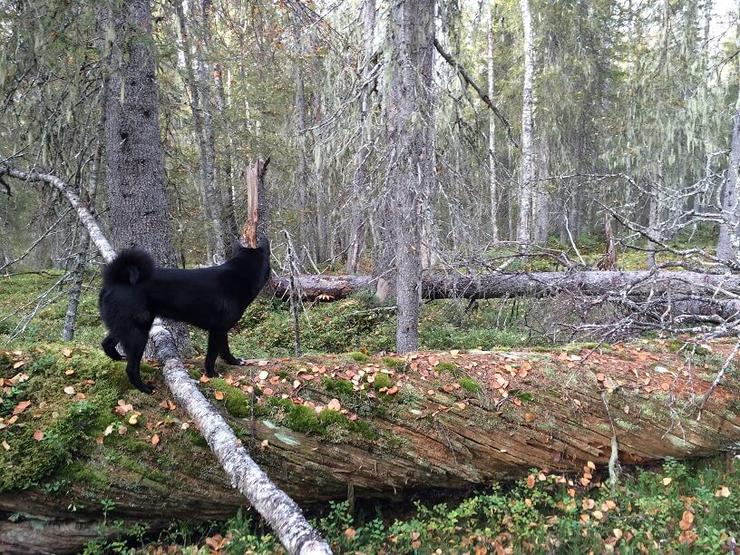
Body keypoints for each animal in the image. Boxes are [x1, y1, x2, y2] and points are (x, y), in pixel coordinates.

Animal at [99, 240, 268, 396]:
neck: (240, 274)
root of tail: (116, 280)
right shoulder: (217, 330)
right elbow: (212, 355)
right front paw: (211, 374)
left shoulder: (222, 330)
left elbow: (225, 350)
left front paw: (233, 361)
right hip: (137, 333)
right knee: (132, 368)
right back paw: (145, 389)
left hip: (125, 327)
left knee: (106, 343)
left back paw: (117, 358)